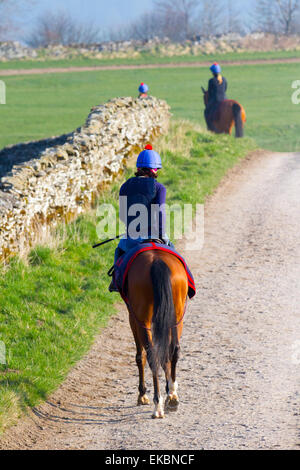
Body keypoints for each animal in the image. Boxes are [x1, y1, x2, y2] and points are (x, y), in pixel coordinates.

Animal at [126, 250, 188, 418]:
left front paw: (142, 395)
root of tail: (157, 262)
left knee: (151, 356)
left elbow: (140, 356)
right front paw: (169, 390)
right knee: (173, 350)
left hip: (143, 319)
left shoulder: (133, 317)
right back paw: (172, 395)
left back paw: (157, 405)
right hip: (177, 313)